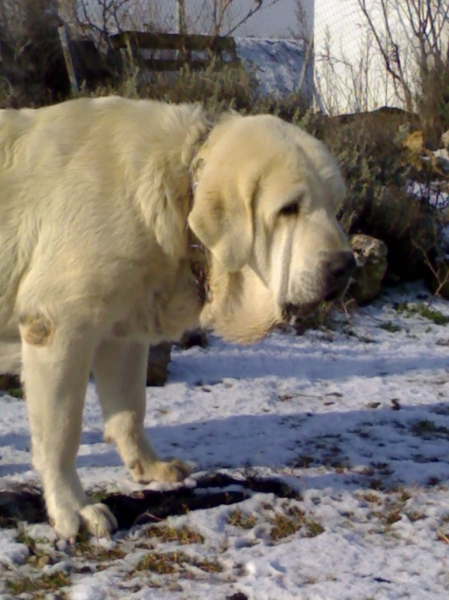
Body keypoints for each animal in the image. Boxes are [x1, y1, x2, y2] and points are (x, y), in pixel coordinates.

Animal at [0, 96, 354, 536]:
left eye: (334, 207)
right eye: (289, 209)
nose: (345, 266)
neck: (177, 188)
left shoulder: (121, 335)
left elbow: (131, 409)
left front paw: (149, 467)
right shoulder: (57, 327)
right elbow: (61, 433)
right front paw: (73, 507)